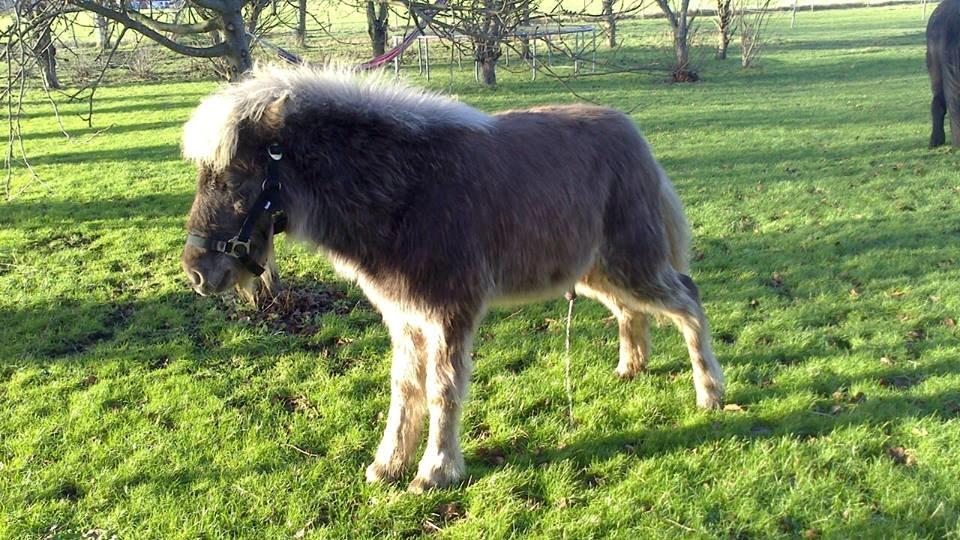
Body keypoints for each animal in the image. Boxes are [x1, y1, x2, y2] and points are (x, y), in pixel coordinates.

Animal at [180, 65, 724, 492]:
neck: (404, 191)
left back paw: (710, 394)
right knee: (631, 312)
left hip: (633, 262)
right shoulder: (405, 318)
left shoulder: (448, 314)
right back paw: (631, 368)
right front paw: (387, 466)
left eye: (233, 178)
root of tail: (633, 136)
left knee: (688, 299)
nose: (197, 272)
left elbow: (442, 389)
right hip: (596, 271)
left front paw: (435, 471)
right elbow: (405, 388)